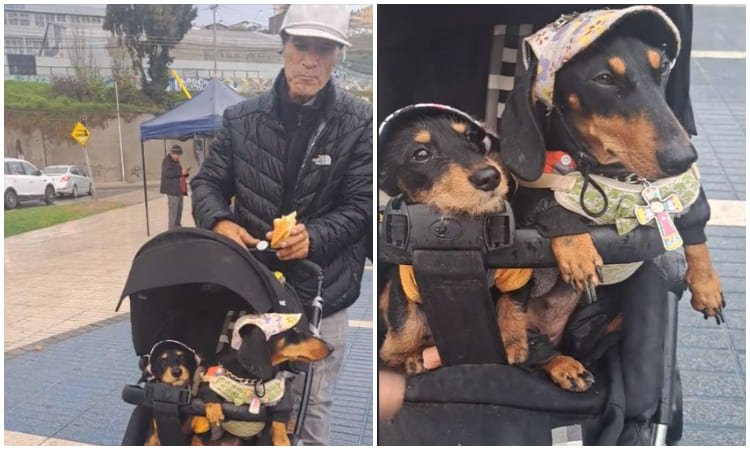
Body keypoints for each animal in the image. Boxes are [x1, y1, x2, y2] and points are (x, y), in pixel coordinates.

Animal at [378, 103, 596, 392]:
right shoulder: (404, 279)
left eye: (472, 137)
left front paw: (511, 342)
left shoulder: (518, 272)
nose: (491, 177)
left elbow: (512, 302)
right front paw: (400, 354)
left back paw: (564, 365)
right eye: (421, 154)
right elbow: (405, 322)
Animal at [502, 6, 724, 342]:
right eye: (604, 78)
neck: (613, 175)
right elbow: (551, 203)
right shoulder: (528, 195)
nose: (684, 159)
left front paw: (706, 283)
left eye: (662, 68)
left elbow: (694, 220)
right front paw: (578, 252)